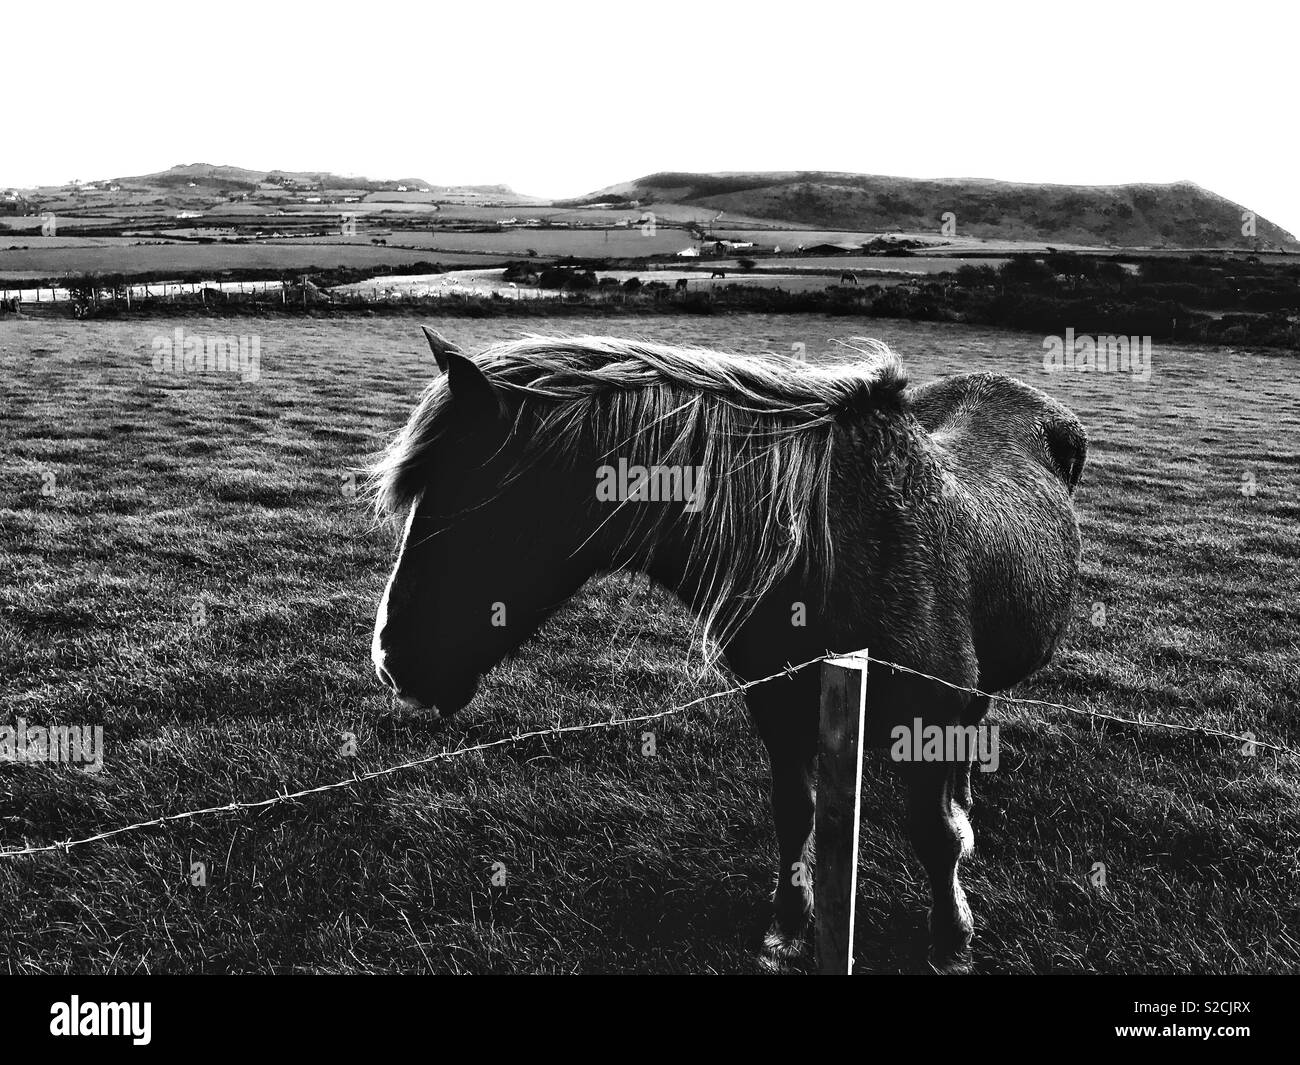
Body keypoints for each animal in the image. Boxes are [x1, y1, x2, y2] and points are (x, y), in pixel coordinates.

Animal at [370, 328, 1088, 971]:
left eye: (465, 506)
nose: (389, 658)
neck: (829, 551)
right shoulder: (781, 708)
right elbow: (796, 814)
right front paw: (789, 925)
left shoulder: (926, 716)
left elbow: (934, 838)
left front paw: (951, 938)